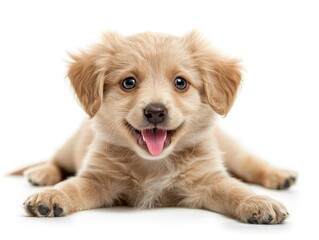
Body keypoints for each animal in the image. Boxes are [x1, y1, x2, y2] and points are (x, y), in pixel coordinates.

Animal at [12, 31, 298, 224]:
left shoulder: (209, 180)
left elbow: (235, 189)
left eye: (181, 82)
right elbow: (72, 186)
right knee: (55, 161)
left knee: (251, 163)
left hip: (233, 151)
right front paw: (50, 196)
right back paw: (41, 173)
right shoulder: (97, 178)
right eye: (128, 82)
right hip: (69, 148)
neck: (153, 164)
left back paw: (280, 176)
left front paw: (258, 201)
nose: (155, 112)